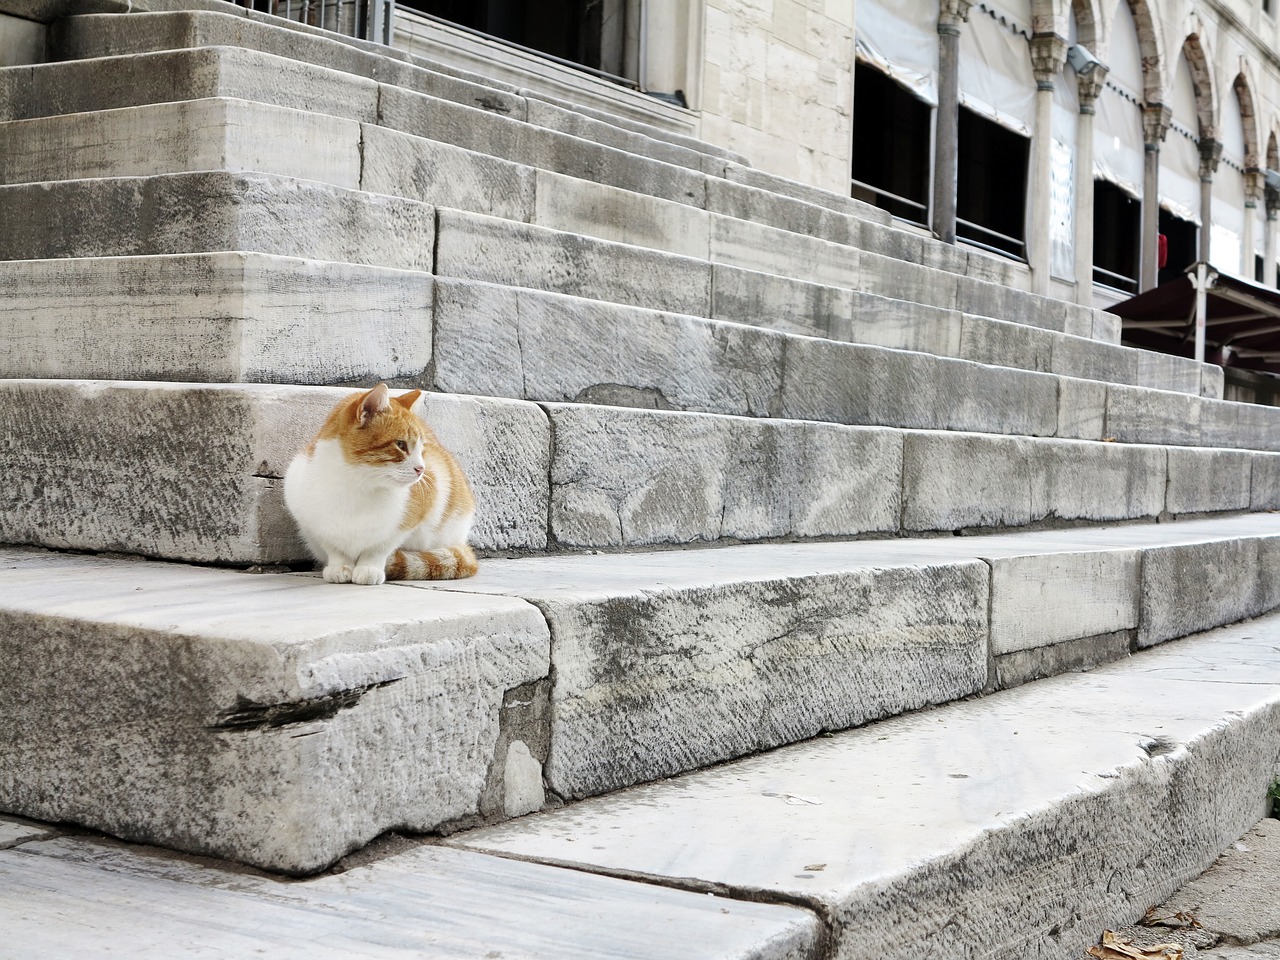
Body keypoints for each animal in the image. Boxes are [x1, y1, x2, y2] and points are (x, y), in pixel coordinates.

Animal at [282, 386, 478, 586]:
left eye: (422, 449)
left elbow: (379, 546)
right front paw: (339, 566)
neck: (358, 484)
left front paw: (369, 568)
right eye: (400, 444)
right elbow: (333, 547)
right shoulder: (311, 519)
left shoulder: (407, 520)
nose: (421, 469)